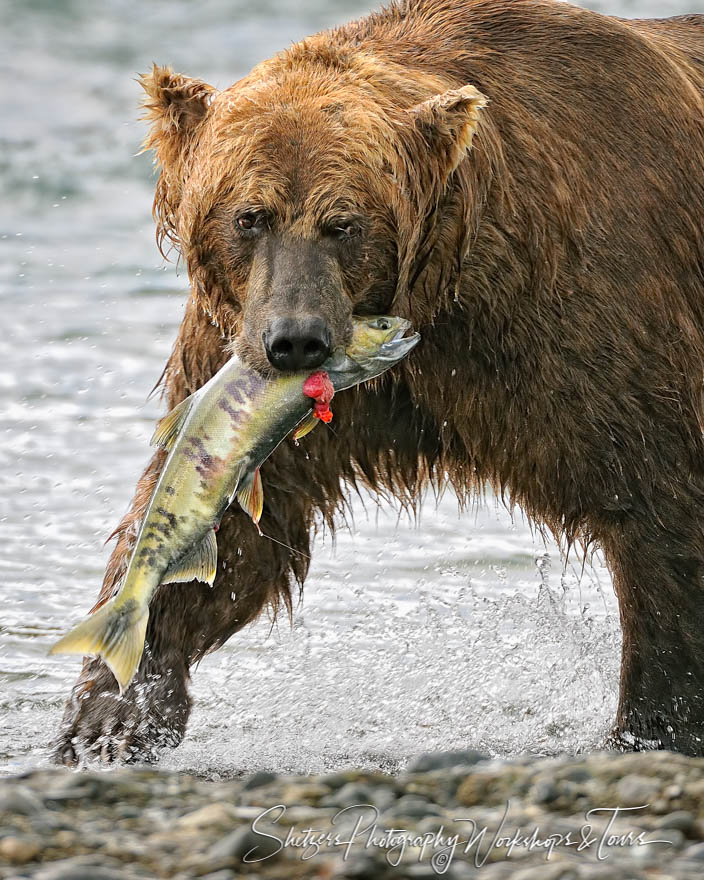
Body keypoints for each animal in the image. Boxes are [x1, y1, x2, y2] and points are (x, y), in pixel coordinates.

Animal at [55, 0, 704, 760]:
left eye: (343, 222)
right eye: (249, 216)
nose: (296, 341)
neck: (446, 292)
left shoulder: (587, 318)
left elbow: (657, 507)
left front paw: (654, 725)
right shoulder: (249, 362)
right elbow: (239, 523)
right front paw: (109, 715)